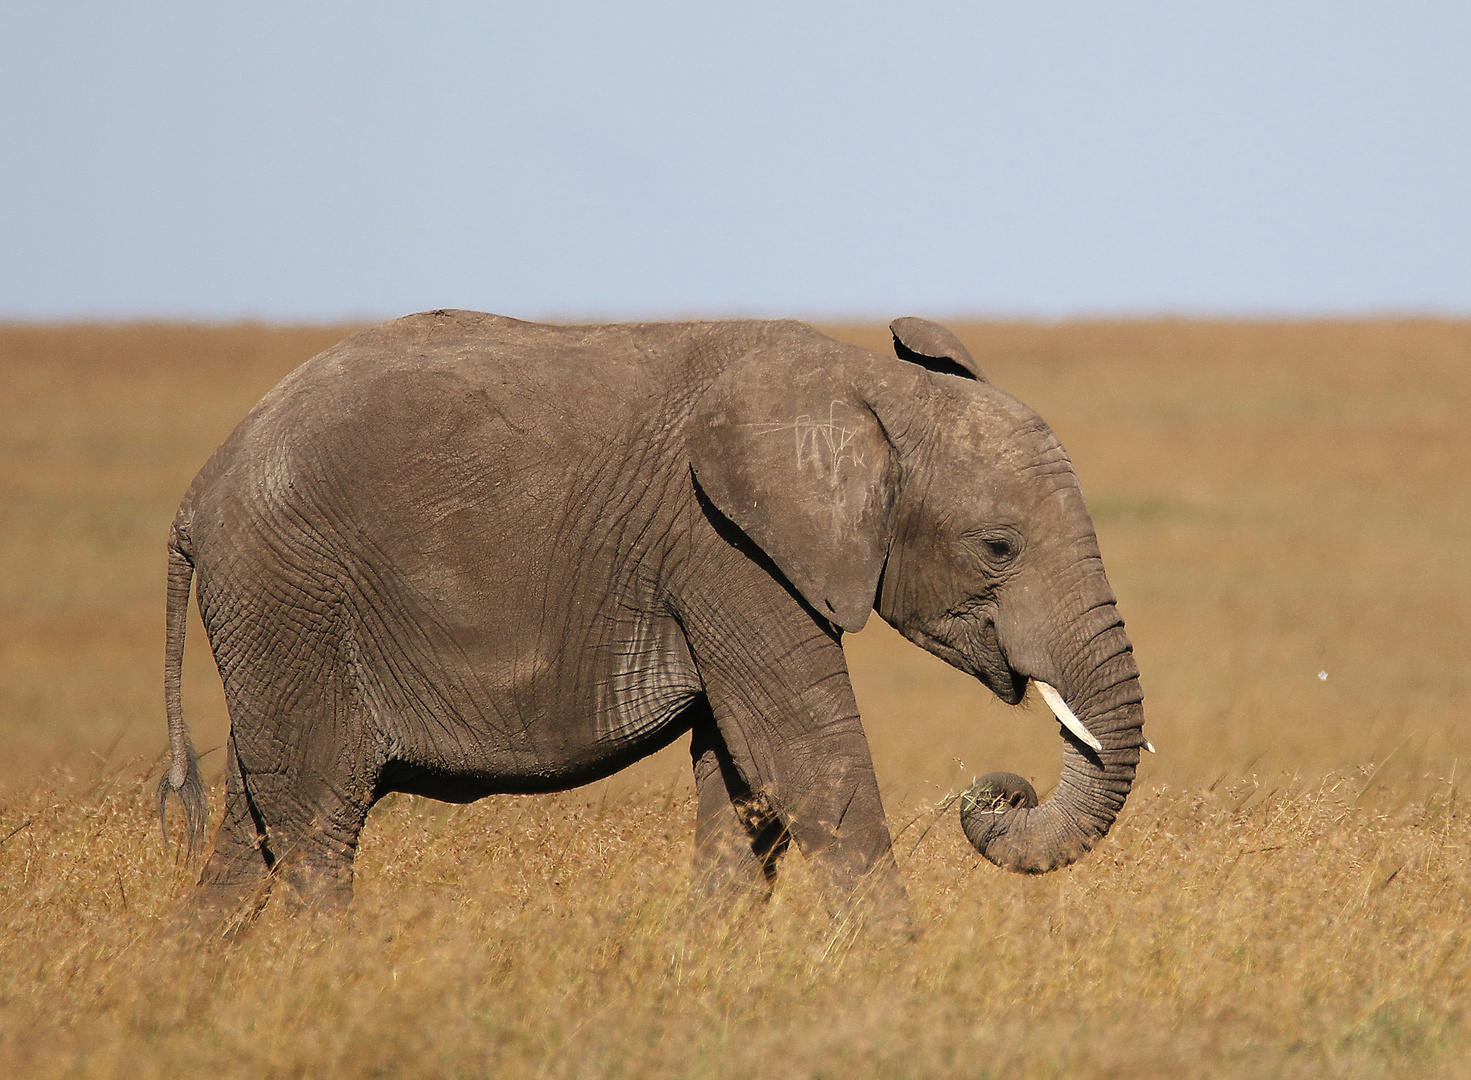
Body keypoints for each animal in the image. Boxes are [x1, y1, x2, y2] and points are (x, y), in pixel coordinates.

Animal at [158, 310, 1147, 924]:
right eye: (999, 548)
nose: (994, 792)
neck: (861, 387)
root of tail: (198, 493)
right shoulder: (722, 545)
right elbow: (807, 761)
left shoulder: (726, 565)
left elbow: (743, 784)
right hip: (291, 600)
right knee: (316, 827)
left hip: (274, 621)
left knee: (253, 833)